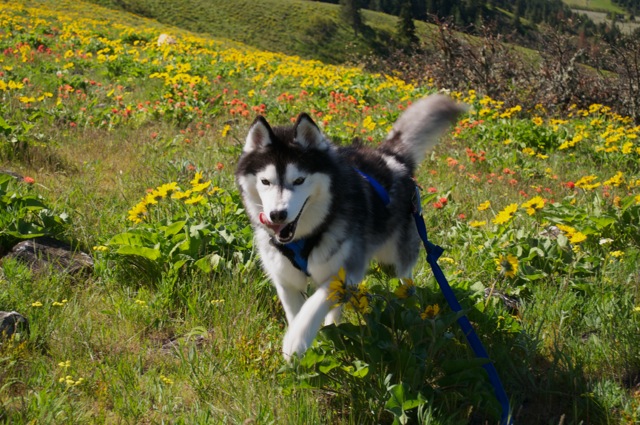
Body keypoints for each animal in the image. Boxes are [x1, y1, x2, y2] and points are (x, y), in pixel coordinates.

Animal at [235, 93, 464, 358]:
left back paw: (405, 303)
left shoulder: (347, 271)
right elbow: (296, 310)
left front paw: (297, 338)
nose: (277, 215)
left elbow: (315, 303)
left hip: (397, 256)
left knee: (405, 278)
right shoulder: (285, 279)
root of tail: (392, 157)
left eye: (299, 180)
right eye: (265, 181)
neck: (308, 235)